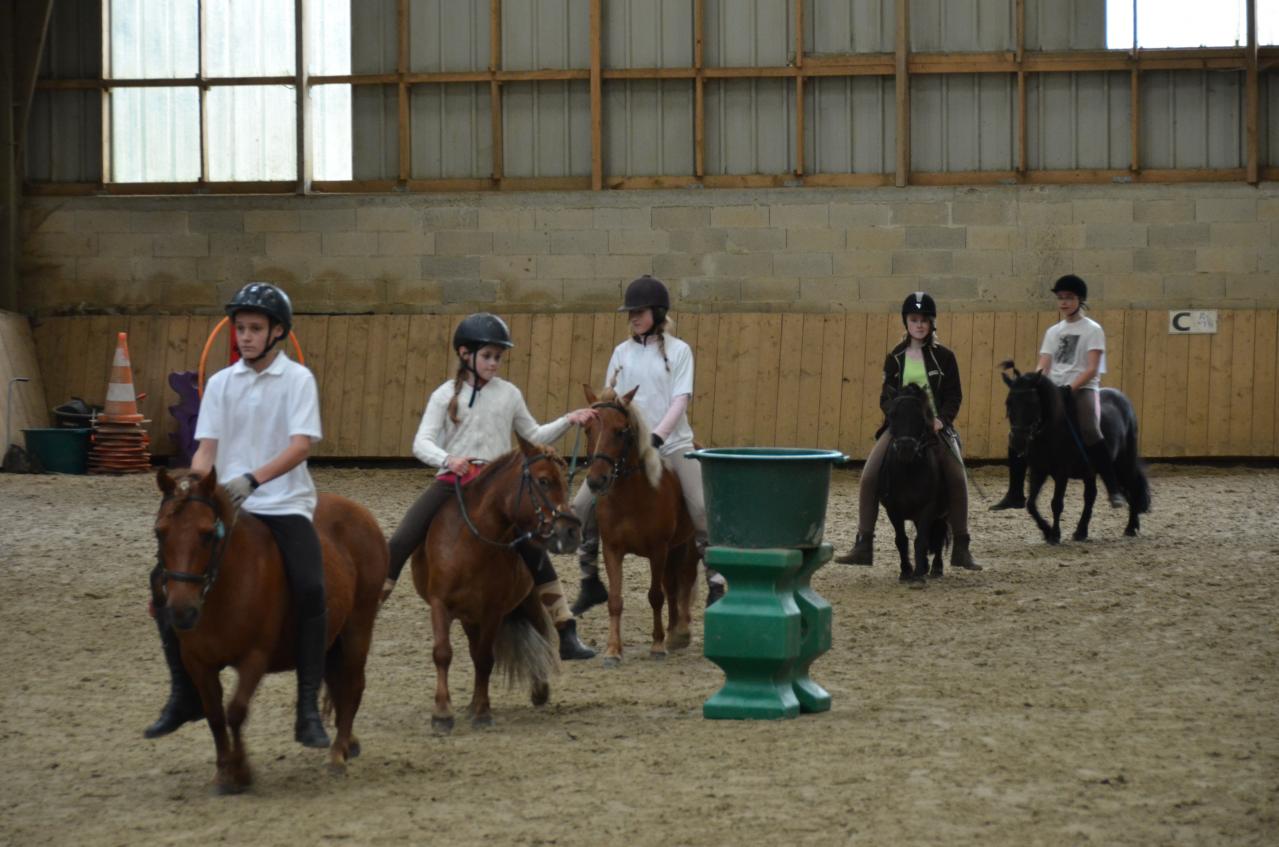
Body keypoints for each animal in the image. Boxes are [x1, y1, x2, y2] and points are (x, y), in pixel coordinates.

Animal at [152, 470, 386, 798]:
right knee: (338, 683)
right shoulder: (197, 662)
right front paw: (223, 772)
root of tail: (360, 512)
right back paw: (348, 743)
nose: (181, 611)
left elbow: (235, 711)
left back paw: (337, 755)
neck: (225, 588)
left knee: (352, 685)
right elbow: (215, 715)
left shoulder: (255, 656)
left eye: (207, 534)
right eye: (159, 532)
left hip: (358, 625)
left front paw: (240, 772)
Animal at [583, 383, 700, 670]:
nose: (596, 481)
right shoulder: (612, 550)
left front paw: (657, 646)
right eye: (588, 429)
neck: (630, 497)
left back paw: (680, 631)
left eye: (620, 431)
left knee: (684, 578)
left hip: (686, 544)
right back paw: (673, 631)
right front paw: (613, 650)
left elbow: (655, 596)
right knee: (672, 585)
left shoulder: (658, 550)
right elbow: (615, 600)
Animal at [879, 383, 951, 583]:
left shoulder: (929, 507)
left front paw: (918, 575)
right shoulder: (893, 509)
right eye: (892, 414)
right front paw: (906, 571)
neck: (908, 472)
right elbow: (901, 539)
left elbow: (921, 540)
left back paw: (936, 568)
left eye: (921, 417)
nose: (906, 449)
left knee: (939, 532)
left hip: (942, 512)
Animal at [997, 360, 1151, 545]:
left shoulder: (1061, 473)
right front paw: (1047, 531)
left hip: (1123, 462)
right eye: (1008, 403)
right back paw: (1081, 531)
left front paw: (1054, 535)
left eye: (1032, 404)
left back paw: (1130, 527)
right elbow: (1031, 504)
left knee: (1132, 487)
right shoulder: (1038, 470)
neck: (1050, 431)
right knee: (1091, 495)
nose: (1018, 441)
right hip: (1090, 470)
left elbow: (1056, 504)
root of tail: (1123, 399)